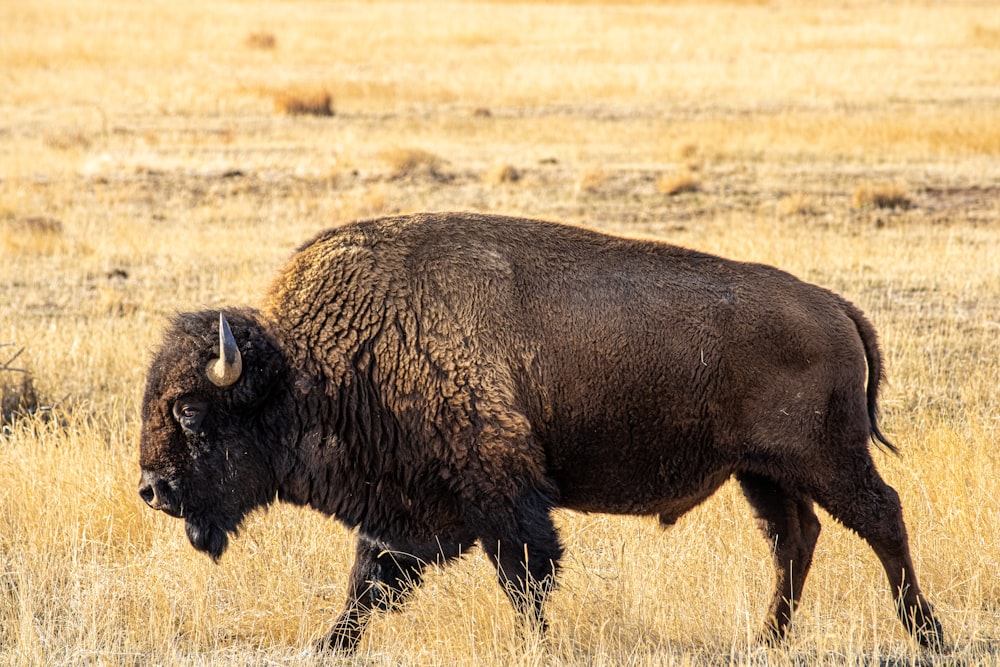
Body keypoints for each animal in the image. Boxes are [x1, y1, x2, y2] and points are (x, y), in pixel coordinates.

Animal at [139, 213, 944, 652]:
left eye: (190, 411)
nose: (152, 489)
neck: (315, 363)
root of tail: (835, 305)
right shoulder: (406, 511)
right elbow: (370, 583)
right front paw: (325, 645)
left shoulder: (502, 494)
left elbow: (525, 576)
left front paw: (540, 643)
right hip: (762, 471)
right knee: (793, 537)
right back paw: (768, 638)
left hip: (826, 458)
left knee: (881, 517)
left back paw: (927, 633)